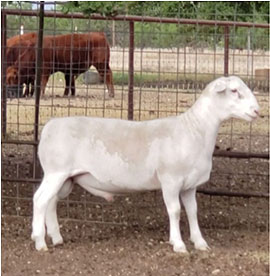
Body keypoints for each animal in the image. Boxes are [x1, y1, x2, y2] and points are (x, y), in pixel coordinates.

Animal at [31, 75, 260, 252]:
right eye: (234, 90)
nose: (257, 111)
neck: (194, 130)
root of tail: (50, 125)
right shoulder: (170, 180)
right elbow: (175, 211)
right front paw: (178, 244)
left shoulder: (190, 185)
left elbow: (193, 211)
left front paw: (200, 242)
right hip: (56, 172)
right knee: (40, 199)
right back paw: (40, 241)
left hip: (66, 178)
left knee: (51, 202)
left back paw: (56, 238)